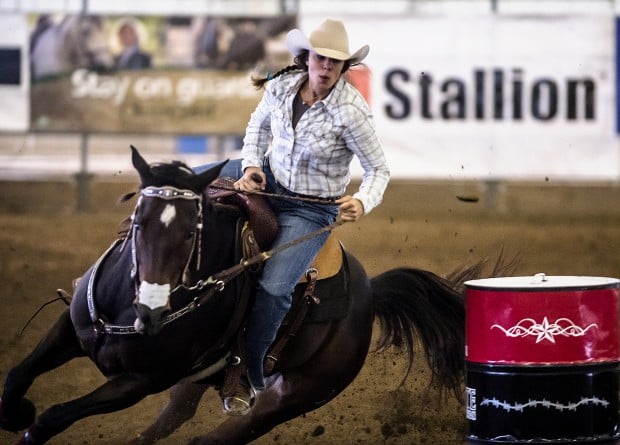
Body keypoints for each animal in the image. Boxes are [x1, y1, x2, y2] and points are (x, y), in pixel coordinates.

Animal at [0, 147, 480, 442]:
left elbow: (53, 416)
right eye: (137, 220)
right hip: (198, 379)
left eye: (191, 231)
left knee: (212, 437)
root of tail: (370, 290)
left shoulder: (138, 382)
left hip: (297, 394)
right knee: (173, 418)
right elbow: (18, 375)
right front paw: (17, 411)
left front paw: (30, 420)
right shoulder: (69, 330)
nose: (150, 313)